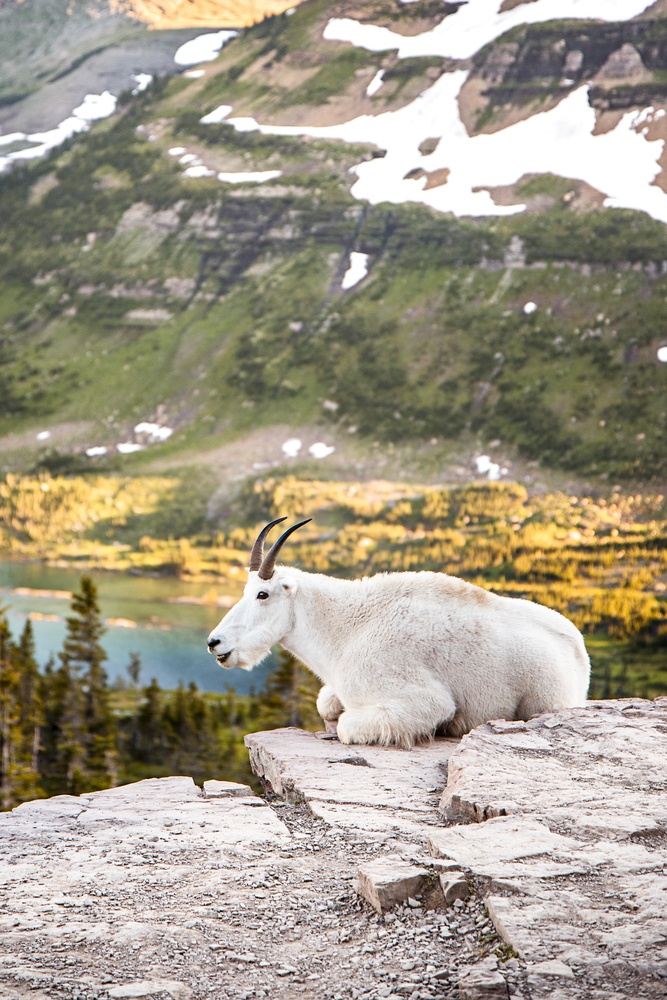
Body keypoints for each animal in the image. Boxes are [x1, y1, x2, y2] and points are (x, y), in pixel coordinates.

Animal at [207, 520, 588, 748]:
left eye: (263, 594)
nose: (215, 643)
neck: (346, 628)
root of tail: (579, 648)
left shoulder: (422, 699)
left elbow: (346, 725)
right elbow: (326, 703)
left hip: (546, 699)